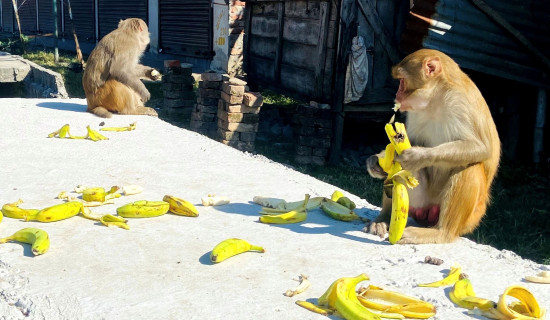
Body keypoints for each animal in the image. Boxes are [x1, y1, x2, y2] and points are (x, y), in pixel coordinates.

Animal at [368, 48, 502, 244]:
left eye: (402, 80)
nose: (397, 95)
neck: (435, 99)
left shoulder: (460, 102)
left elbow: (481, 148)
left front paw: (416, 157)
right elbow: (410, 139)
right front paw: (378, 161)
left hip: (469, 218)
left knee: (470, 166)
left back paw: (440, 232)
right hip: (420, 201)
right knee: (396, 175)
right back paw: (384, 219)